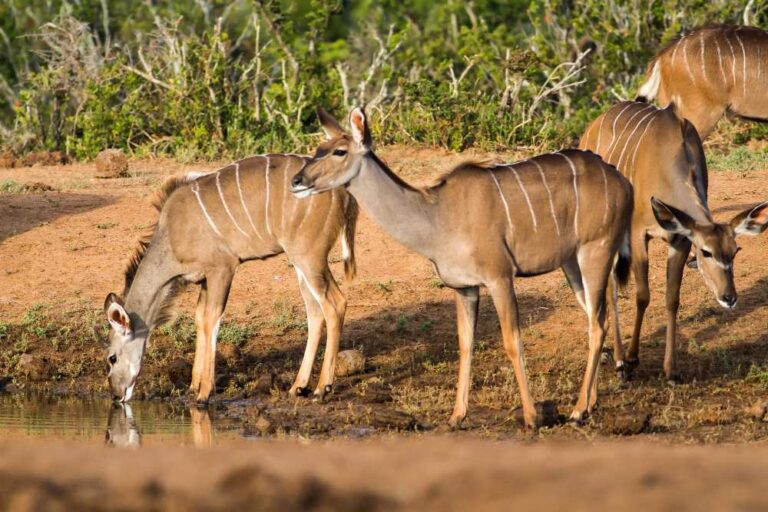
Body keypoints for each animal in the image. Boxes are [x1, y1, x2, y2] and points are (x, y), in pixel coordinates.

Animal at [103, 154, 358, 402]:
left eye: (112, 358)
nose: (115, 395)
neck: (171, 237)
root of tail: (342, 192)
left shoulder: (223, 268)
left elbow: (212, 318)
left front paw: (204, 393)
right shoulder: (205, 279)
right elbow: (200, 317)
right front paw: (193, 386)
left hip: (309, 257)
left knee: (335, 303)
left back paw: (322, 388)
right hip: (302, 263)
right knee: (315, 311)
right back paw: (298, 387)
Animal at [292, 108, 632, 428]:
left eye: (339, 151)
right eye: (319, 148)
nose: (296, 182)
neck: (439, 217)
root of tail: (622, 181)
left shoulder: (500, 277)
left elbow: (512, 342)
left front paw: (531, 418)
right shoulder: (463, 287)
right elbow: (465, 344)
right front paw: (457, 417)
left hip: (596, 251)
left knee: (597, 324)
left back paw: (576, 412)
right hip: (571, 263)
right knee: (596, 319)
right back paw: (588, 404)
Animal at [584, 99, 768, 380]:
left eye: (735, 250)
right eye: (706, 252)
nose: (729, 297)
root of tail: (592, 127)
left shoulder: (680, 238)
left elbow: (672, 299)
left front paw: (670, 370)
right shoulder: (639, 234)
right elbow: (643, 296)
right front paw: (632, 358)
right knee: (610, 287)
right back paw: (618, 361)